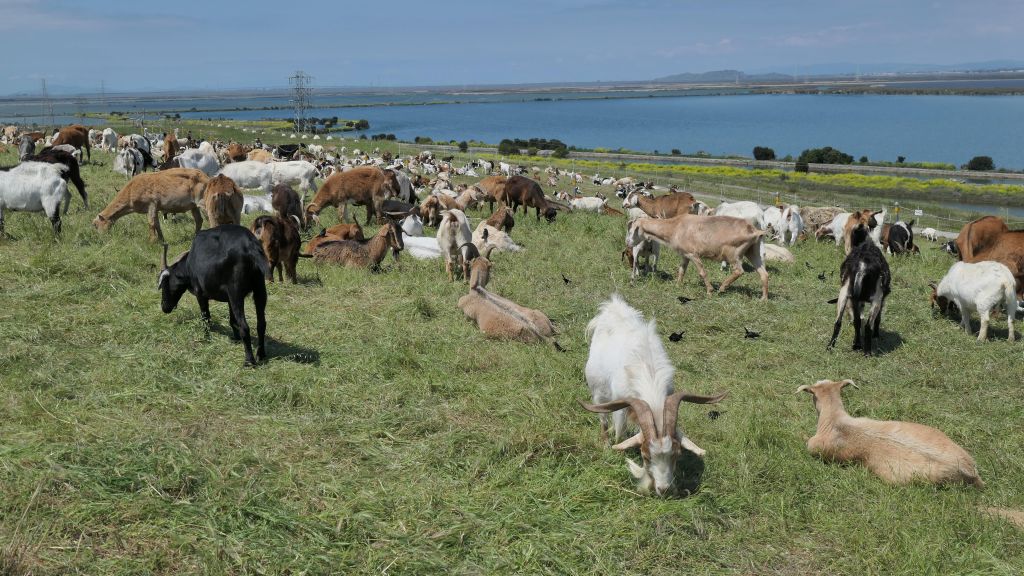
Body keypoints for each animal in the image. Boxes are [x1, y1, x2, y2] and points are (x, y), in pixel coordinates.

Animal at [157, 224, 270, 362]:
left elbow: (206, 317)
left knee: (245, 326)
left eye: (164, 284)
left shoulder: (200, 294)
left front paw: (206, 337)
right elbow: (232, 320)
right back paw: (261, 354)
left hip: (236, 293)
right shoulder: (229, 298)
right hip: (259, 288)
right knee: (261, 323)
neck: (189, 265)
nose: (164, 307)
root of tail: (250, 245)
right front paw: (236, 338)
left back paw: (249, 360)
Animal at [585, 293, 729, 496]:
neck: (649, 376)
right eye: (645, 456)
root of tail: (613, 306)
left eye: (676, 455)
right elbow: (620, 432)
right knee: (603, 418)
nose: (663, 489)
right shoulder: (621, 405)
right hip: (598, 391)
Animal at [630, 213, 770, 297]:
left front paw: (709, 291)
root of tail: (754, 231)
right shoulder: (685, 254)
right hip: (753, 251)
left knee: (739, 271)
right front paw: (677, 285)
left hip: (733, 253)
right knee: (764, 273)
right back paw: (763, 299)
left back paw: (722, 288)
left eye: (632, 231)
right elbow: (682, 270)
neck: (674, 227)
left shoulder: (693, 254)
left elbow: (702, 272)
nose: (628, 243)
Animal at [827, 224, 892, 354]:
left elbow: (857, 321)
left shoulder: (855, 300)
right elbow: (877, 318)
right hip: (876, 298)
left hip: (844, 293)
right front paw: (876, 335)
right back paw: (867, 352)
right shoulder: (881, 299)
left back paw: (833, 346)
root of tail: (862, 268)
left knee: (839, 322)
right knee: (867, 326)